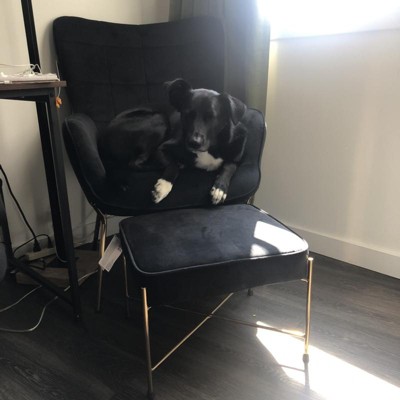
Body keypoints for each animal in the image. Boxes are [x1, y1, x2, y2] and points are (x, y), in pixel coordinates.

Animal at [98, 78, 248, 205]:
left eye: (212, 116)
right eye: (187, 114)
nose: (194, 143)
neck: (210, 148)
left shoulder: (237, 156)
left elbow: (229, 166)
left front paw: (219, 189)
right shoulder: (162, 148)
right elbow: (172, 164)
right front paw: (163, 186)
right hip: (159, 120)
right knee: (134, 163)